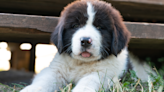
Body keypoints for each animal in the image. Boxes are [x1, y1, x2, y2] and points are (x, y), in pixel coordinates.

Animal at [20, 0, 152, 91]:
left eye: (99, 27)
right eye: (75, 26)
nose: (85, 41)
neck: (81, 63)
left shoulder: (103, 74)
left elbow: (88, 82)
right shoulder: (55, 70)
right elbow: (43, 81)